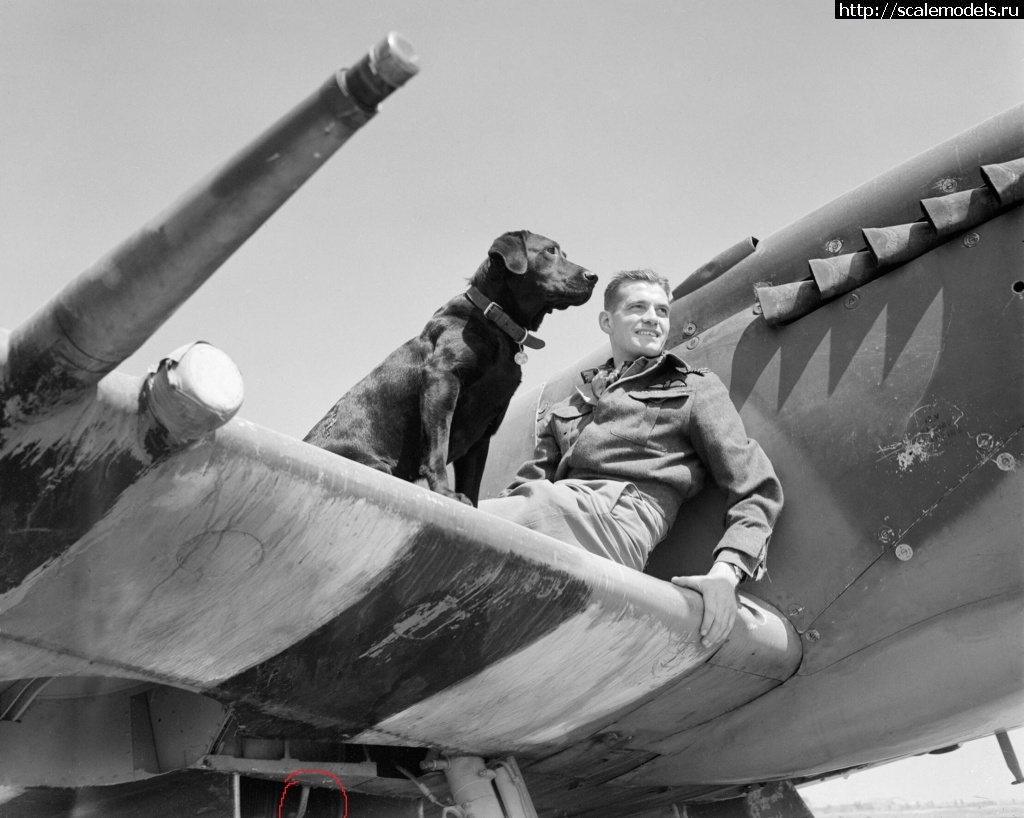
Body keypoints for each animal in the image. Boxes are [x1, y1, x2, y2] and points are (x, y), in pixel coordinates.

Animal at [303, 230, 598, 507]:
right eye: (550, 250)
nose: (593, 276)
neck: (494, 320)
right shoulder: (442, 380)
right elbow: (438, 449)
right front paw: (445, 492)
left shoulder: (485, 427)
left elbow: (472, 482)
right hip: (376, 465)